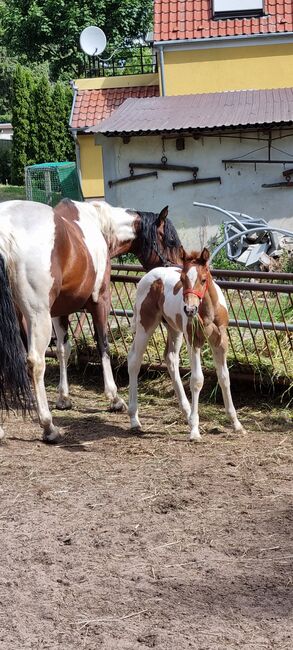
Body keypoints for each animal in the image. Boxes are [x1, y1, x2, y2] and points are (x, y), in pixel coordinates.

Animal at [126, 248, 243, 440]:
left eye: (203, 279)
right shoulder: (193, 341)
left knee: (170, 358)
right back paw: (134, 418)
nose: (189, 309)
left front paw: (236, 424)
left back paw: (187, 412)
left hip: (174, 328)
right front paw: (194, 431)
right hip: (146, 324)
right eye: (182, 279)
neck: (208, 310)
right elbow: (197, 380)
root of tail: (148, 276)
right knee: (135, 360)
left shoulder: (221, 342)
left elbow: (224, 377)